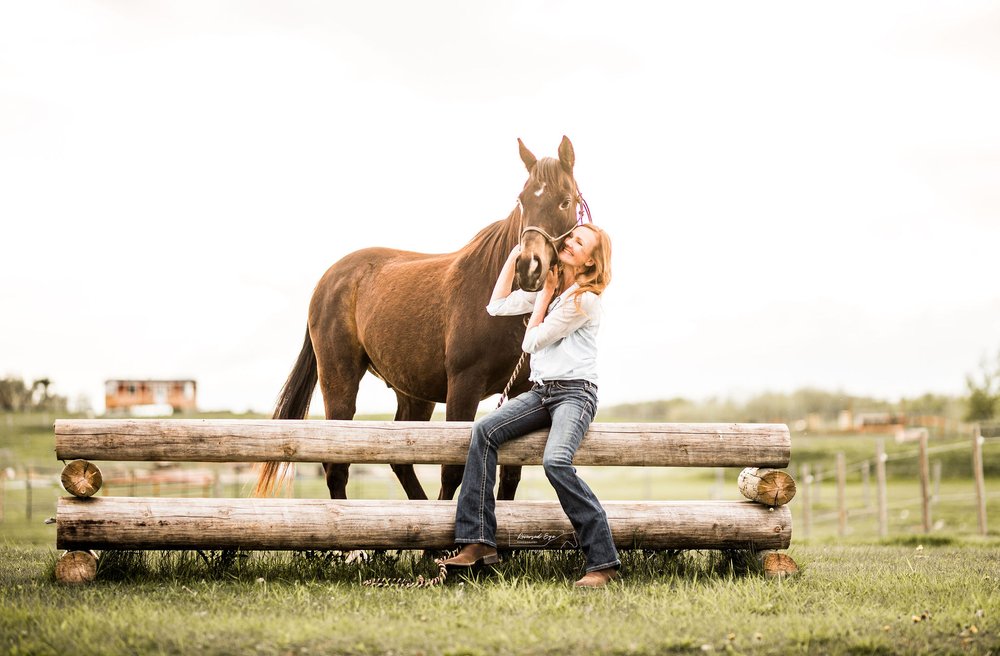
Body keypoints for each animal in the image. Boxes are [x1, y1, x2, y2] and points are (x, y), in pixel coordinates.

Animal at [254, 136, 584, 500]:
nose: (529, 268)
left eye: (565, 201)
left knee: (401, 458)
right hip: (339, 381)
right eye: (521, 201)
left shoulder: (521, 391)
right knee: (336, 465)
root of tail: (328, 279)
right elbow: (452, 471)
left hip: (413, 392)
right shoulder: (464, 386)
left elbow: (510, 477)